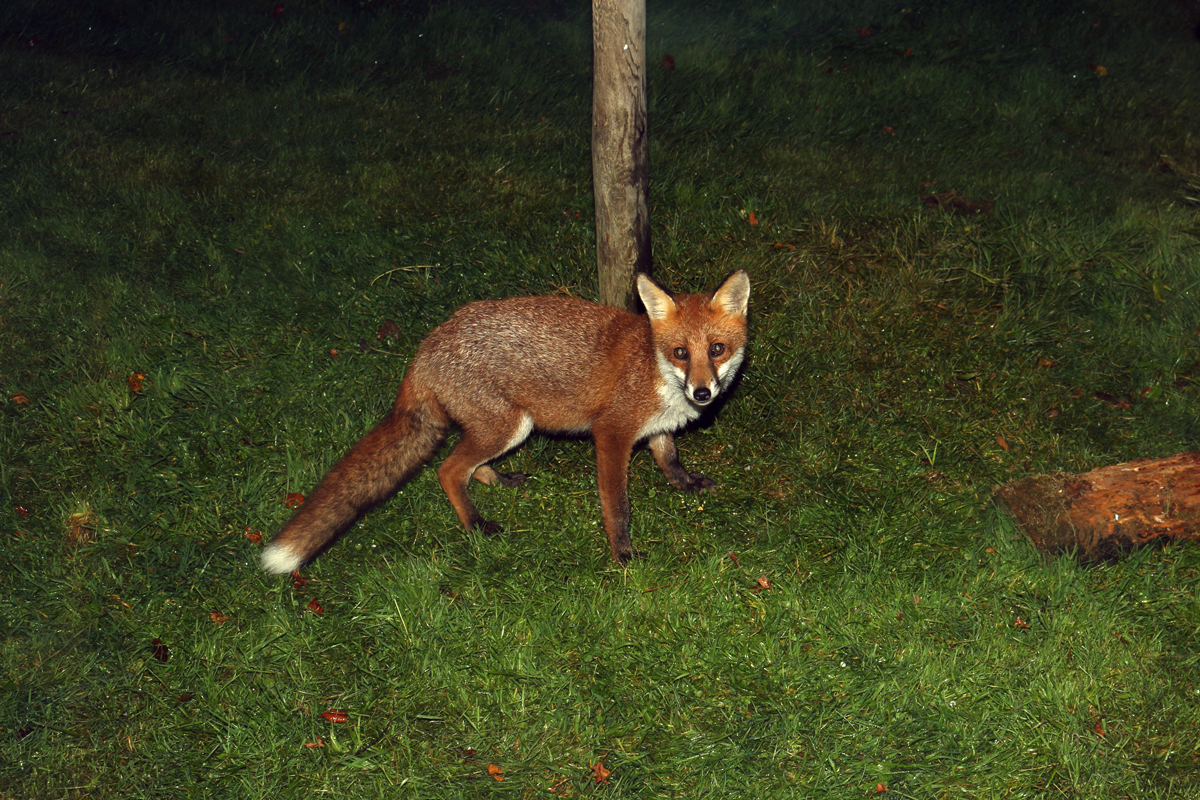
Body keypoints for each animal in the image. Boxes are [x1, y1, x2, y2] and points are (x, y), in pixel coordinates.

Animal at [260, 269, 750, 574]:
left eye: (717, 349)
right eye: (681, 353)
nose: (702, 393)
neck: (654, 367)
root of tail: (426, 347)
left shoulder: (657, 428)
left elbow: (669, 457)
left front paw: (686, 483)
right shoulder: (612, 434)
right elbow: (618, 507)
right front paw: (623, 552)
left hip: (504, 428)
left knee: (468, 465)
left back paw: (498, 480)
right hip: (511, 426)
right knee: (448, 469)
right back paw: (476, 523)